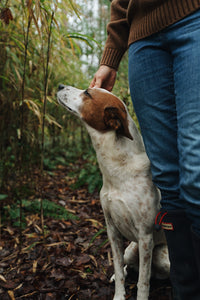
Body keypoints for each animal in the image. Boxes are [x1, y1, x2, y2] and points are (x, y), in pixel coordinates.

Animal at [57, 84, 170, 300]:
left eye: (88, 93)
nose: (59, 85)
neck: (118, 169)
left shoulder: (145, 237)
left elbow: (143, 282)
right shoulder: (112, 230)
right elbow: (118, 270)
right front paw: (119, 294)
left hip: (160, 256)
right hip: (130, 250)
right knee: (127, 266)